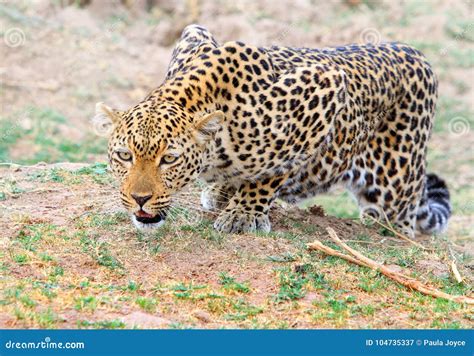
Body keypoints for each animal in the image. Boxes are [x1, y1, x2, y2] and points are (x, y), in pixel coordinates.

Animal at [92, 24, 452, 236]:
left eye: (169, 159)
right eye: (124, 156)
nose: (140, 199)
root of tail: (416, 53)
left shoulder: (326, 84)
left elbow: (275, 170)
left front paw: (244, 212)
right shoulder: (195, 34)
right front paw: (224, 191)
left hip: (394, 189)